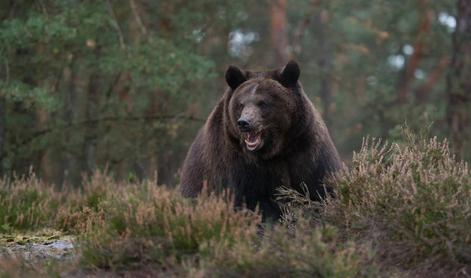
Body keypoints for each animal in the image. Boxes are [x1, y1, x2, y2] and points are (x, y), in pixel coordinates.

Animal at [182, 61, 342, 222]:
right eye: (241, 104)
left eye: (263, 103)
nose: (244, 122)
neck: (277, 149)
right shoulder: (239, 163)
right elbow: (253, 202)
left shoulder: (307, 150)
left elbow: (322, 188)